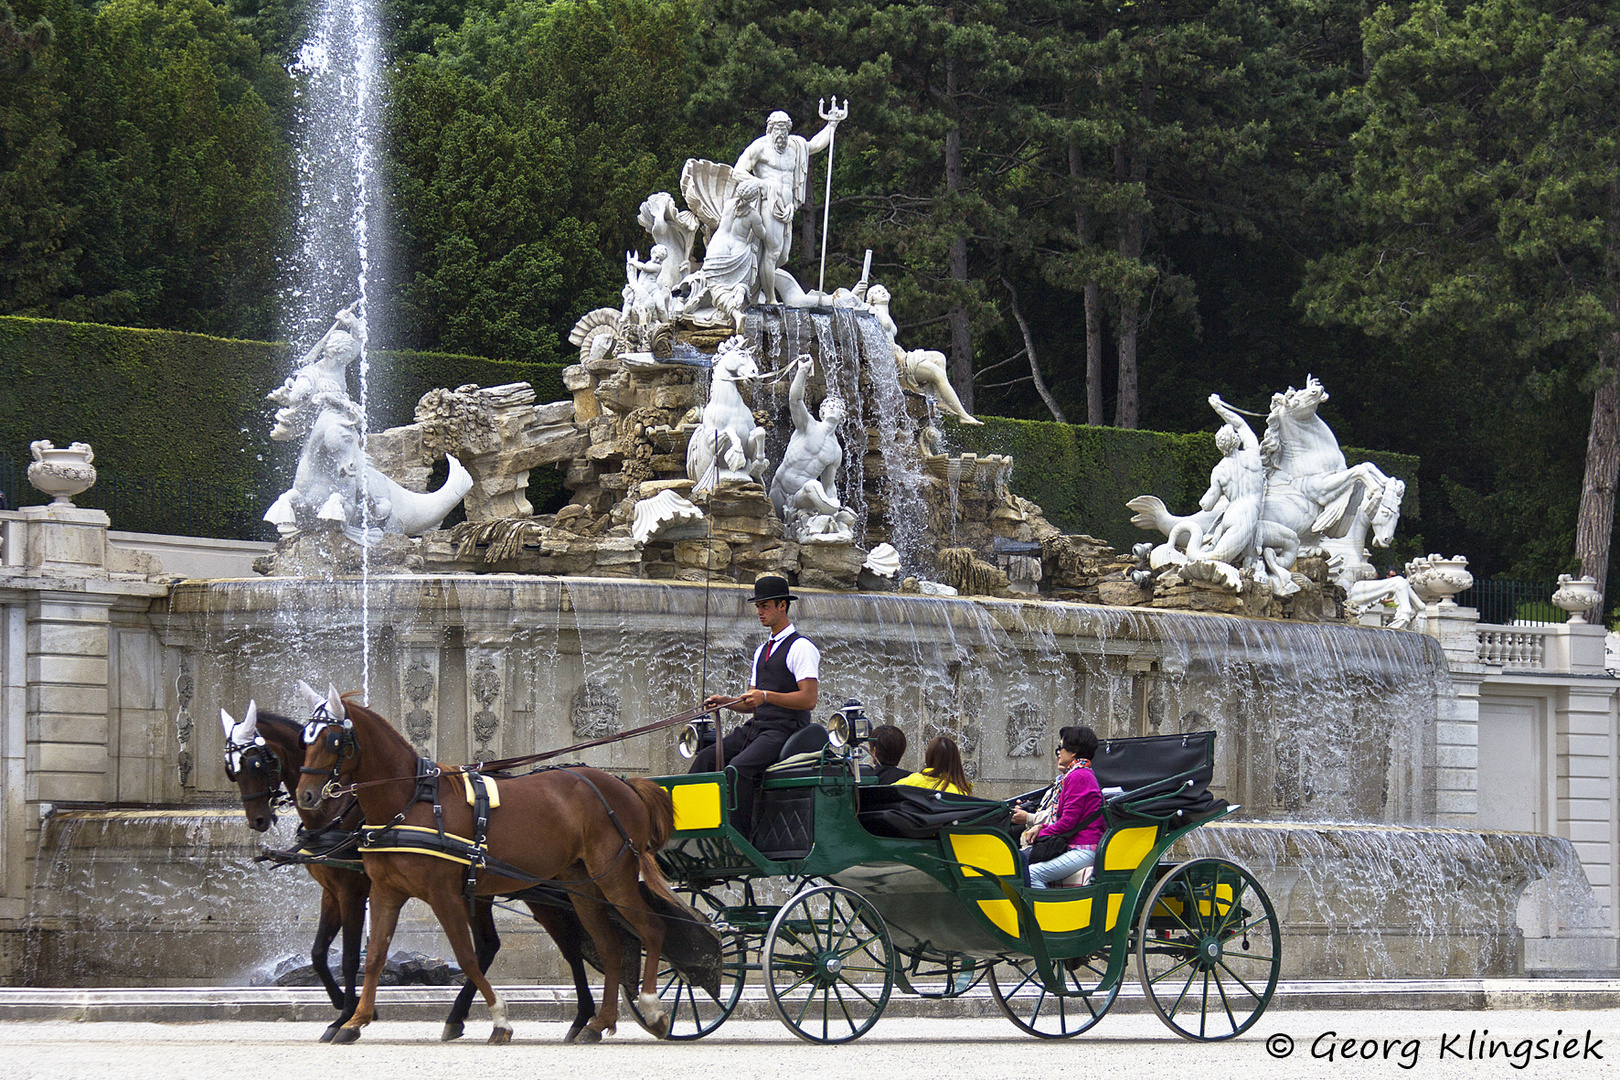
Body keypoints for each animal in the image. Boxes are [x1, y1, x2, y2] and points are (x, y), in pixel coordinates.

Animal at [223, 696, 609, 1042]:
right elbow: (320, 954)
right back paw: (464, 1017)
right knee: (492, 945)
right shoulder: (334, 891)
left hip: (544, 893)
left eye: (255, 763)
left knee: (570, 946)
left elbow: (348, 957)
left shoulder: (353, 891)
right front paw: (344, 1006)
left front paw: (346, 1013)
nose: (258, 820)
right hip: (488, 892)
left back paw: (581, 1017)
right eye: (232, 769)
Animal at [291, 689, 683, 1042]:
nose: (304, 795)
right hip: (584, 886)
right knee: (610, 946)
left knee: (652, 929)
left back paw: (651, 1009)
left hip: (614, 877)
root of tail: (622, 782)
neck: (411, 802)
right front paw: (355, 1020)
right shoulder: (386, 892)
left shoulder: (443, 895)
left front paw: (499, 1019)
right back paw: (599, 1022)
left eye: (333, 740)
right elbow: (373, 957)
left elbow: (466, 956)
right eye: (304, 738)